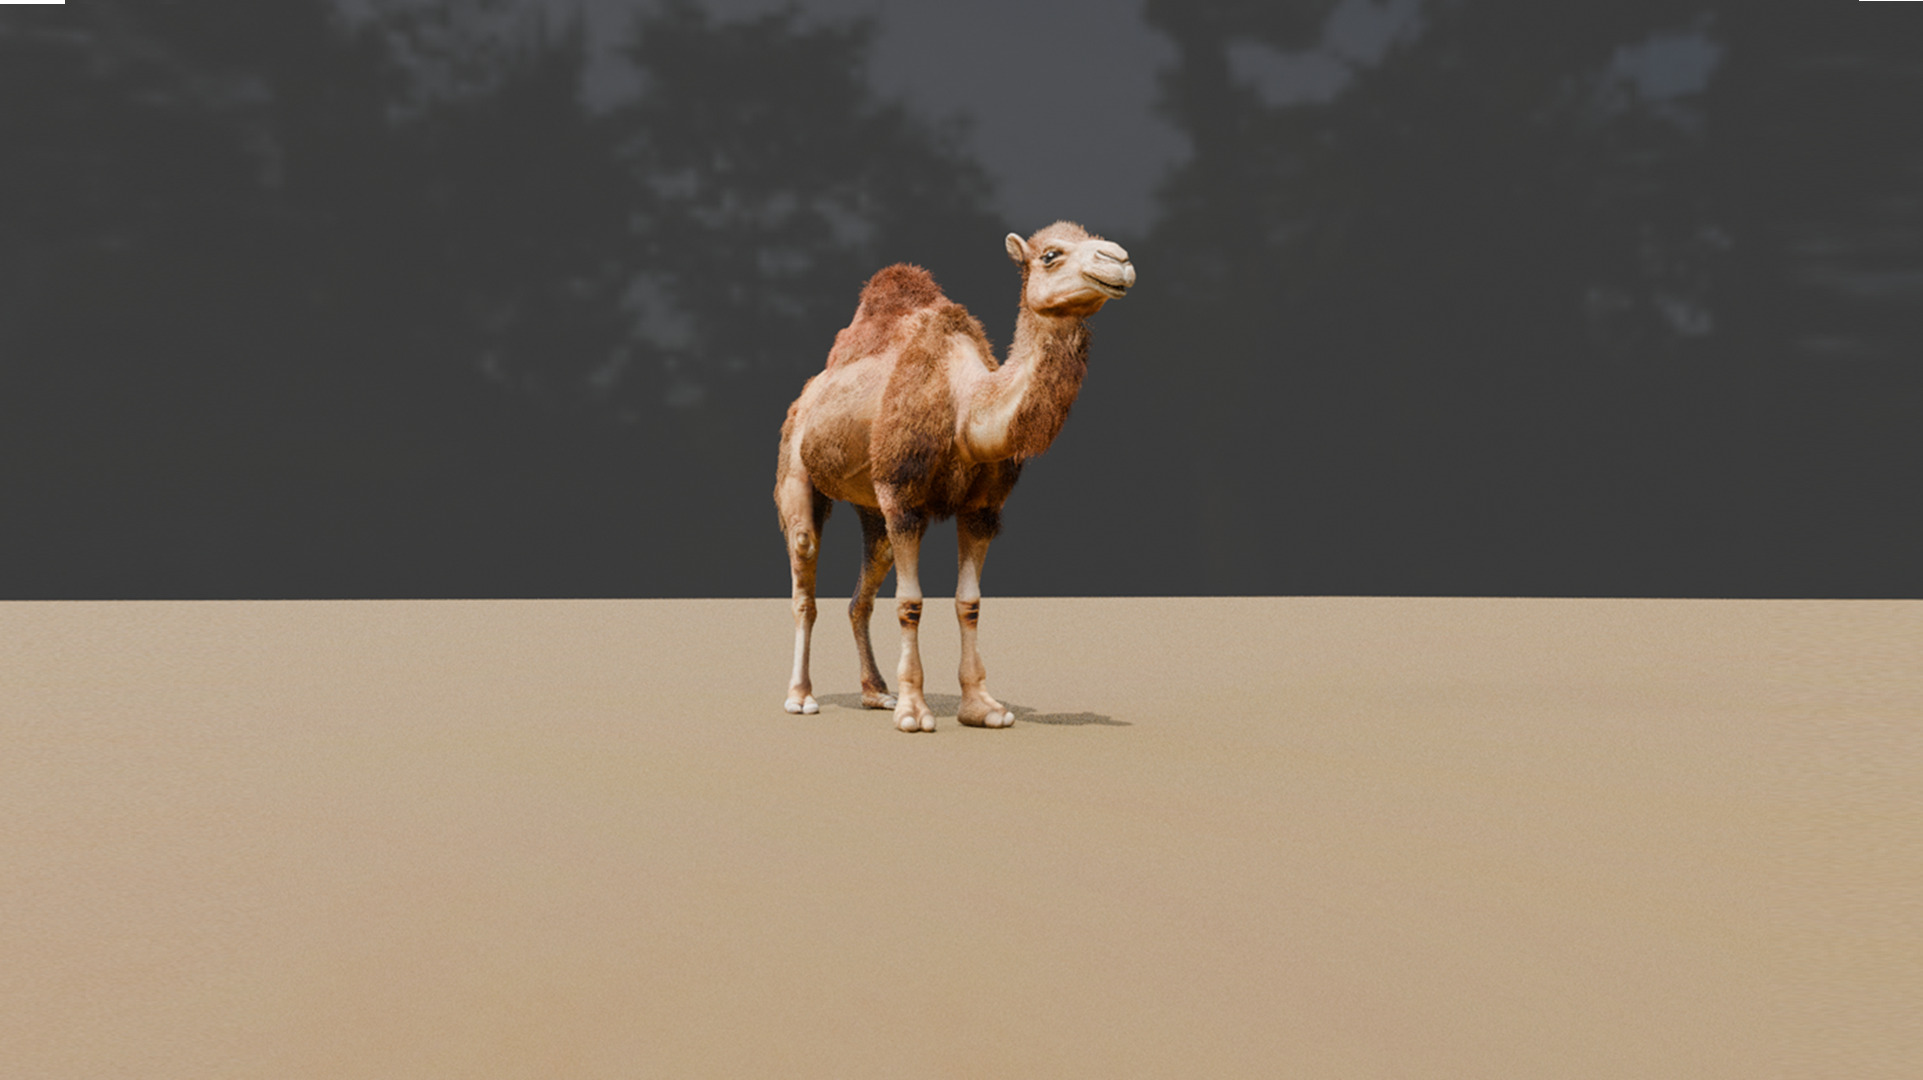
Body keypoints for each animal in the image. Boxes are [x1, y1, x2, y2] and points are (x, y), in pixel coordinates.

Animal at [774, 221, 1134, 732]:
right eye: (1050, 254)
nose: (1119, 259)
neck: (966, 410)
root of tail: (807, 394)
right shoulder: (903, 499)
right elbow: (911, 603)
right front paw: (913, 711)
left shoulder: (982, 510)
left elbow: (970, 602)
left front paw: (982, 707)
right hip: (798, 462)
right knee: (805, 577)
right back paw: (802, 697)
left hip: (870, 507)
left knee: (862, 591)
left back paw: (875, 693)